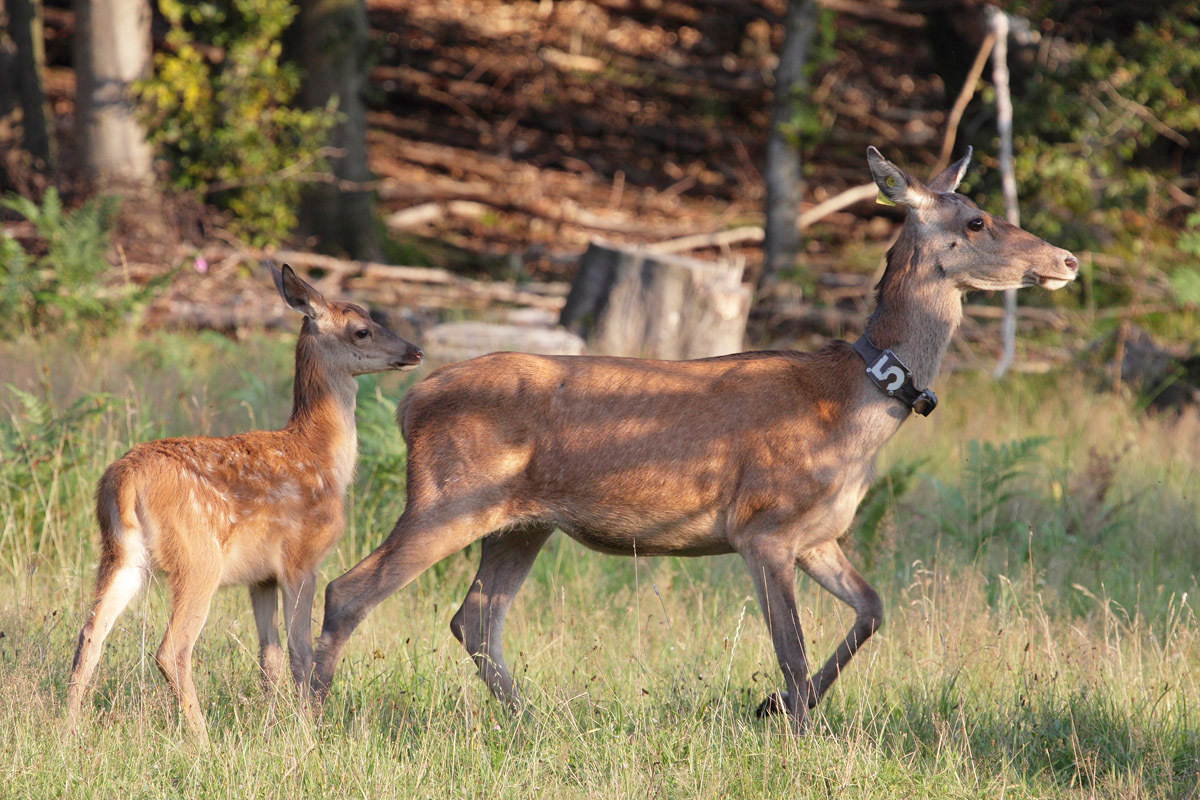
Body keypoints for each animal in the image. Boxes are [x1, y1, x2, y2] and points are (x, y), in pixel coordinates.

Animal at [65, 263, 424, 743]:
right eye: (362, 330)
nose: (415, 351)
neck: (323, 459)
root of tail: (123, 482)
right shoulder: (300, 558)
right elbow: (300, 652)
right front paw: (306, 731)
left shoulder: (261, 578)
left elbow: (268, 658)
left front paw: (272, 726)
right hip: (197, 557)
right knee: (172, 647)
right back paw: (202, 740)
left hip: (120, 555)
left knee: (90, 633)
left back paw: (67, 729)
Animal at [309, 145, 1080, 734]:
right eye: (977, 218)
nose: (1068, 259)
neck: (852, 408)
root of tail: (412, 402)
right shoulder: (762, 526)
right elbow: (792, 647)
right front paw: (797, 729)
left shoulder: (819, 533)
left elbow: (872, 610)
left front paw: (774, 709)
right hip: (451, 497)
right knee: (350, 589)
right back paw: (311, 714)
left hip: (522, 523)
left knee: (474, 618)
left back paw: (529, 719)